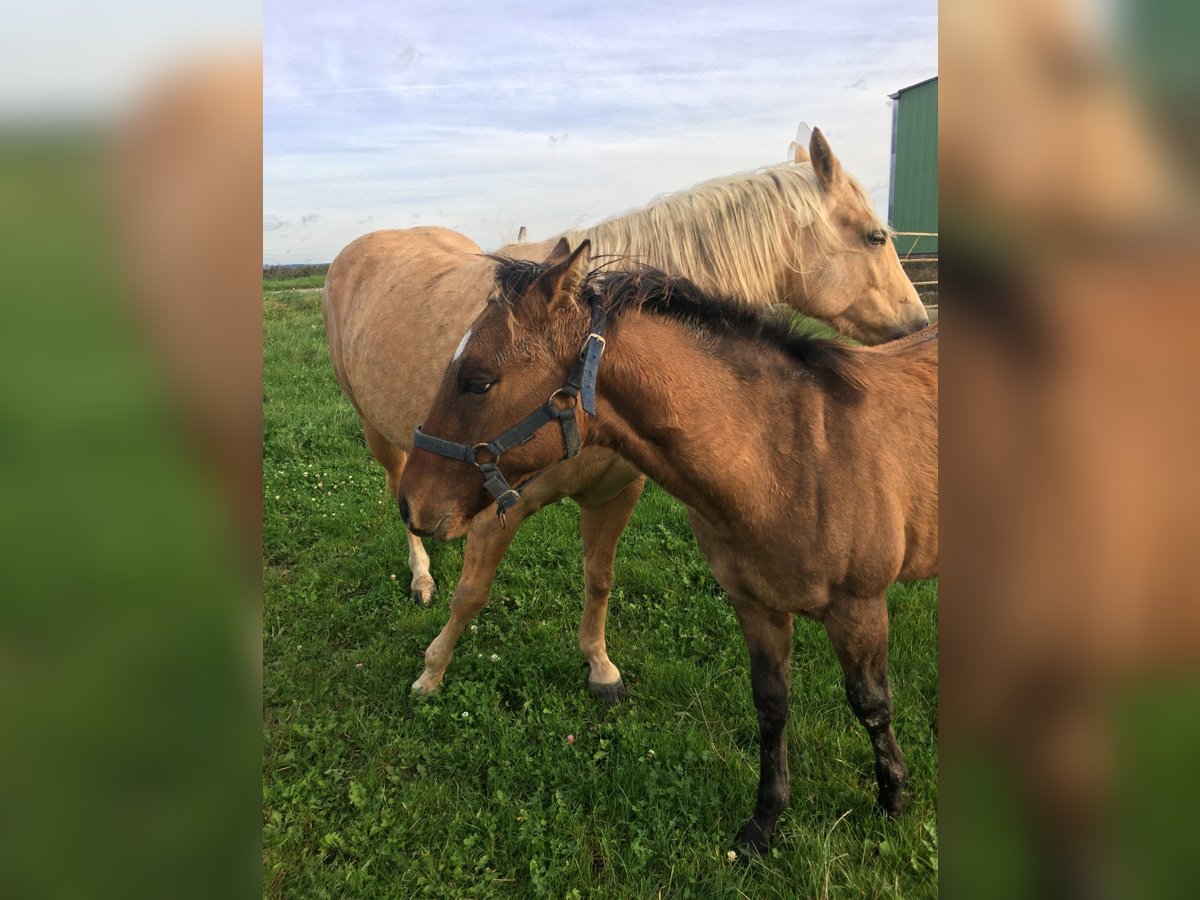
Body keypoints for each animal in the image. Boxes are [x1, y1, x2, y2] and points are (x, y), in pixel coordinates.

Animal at [321, 130, 926, 700]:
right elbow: (471, 595)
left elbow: (599, 578)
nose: (919, 323)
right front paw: (432, 672)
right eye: (876, 236)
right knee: (399, 489)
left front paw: (599, 666)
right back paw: (421, 576)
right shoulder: (496, 507)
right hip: (383, 440)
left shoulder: (615, 492)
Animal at [398, 241, 940, 859]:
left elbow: (872, 704)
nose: (410, 503)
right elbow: (772, 708)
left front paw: (892, 801)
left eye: (478, 381)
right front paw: (762, 826)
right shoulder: (757, 606)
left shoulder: (859, 607)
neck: (793, 454)